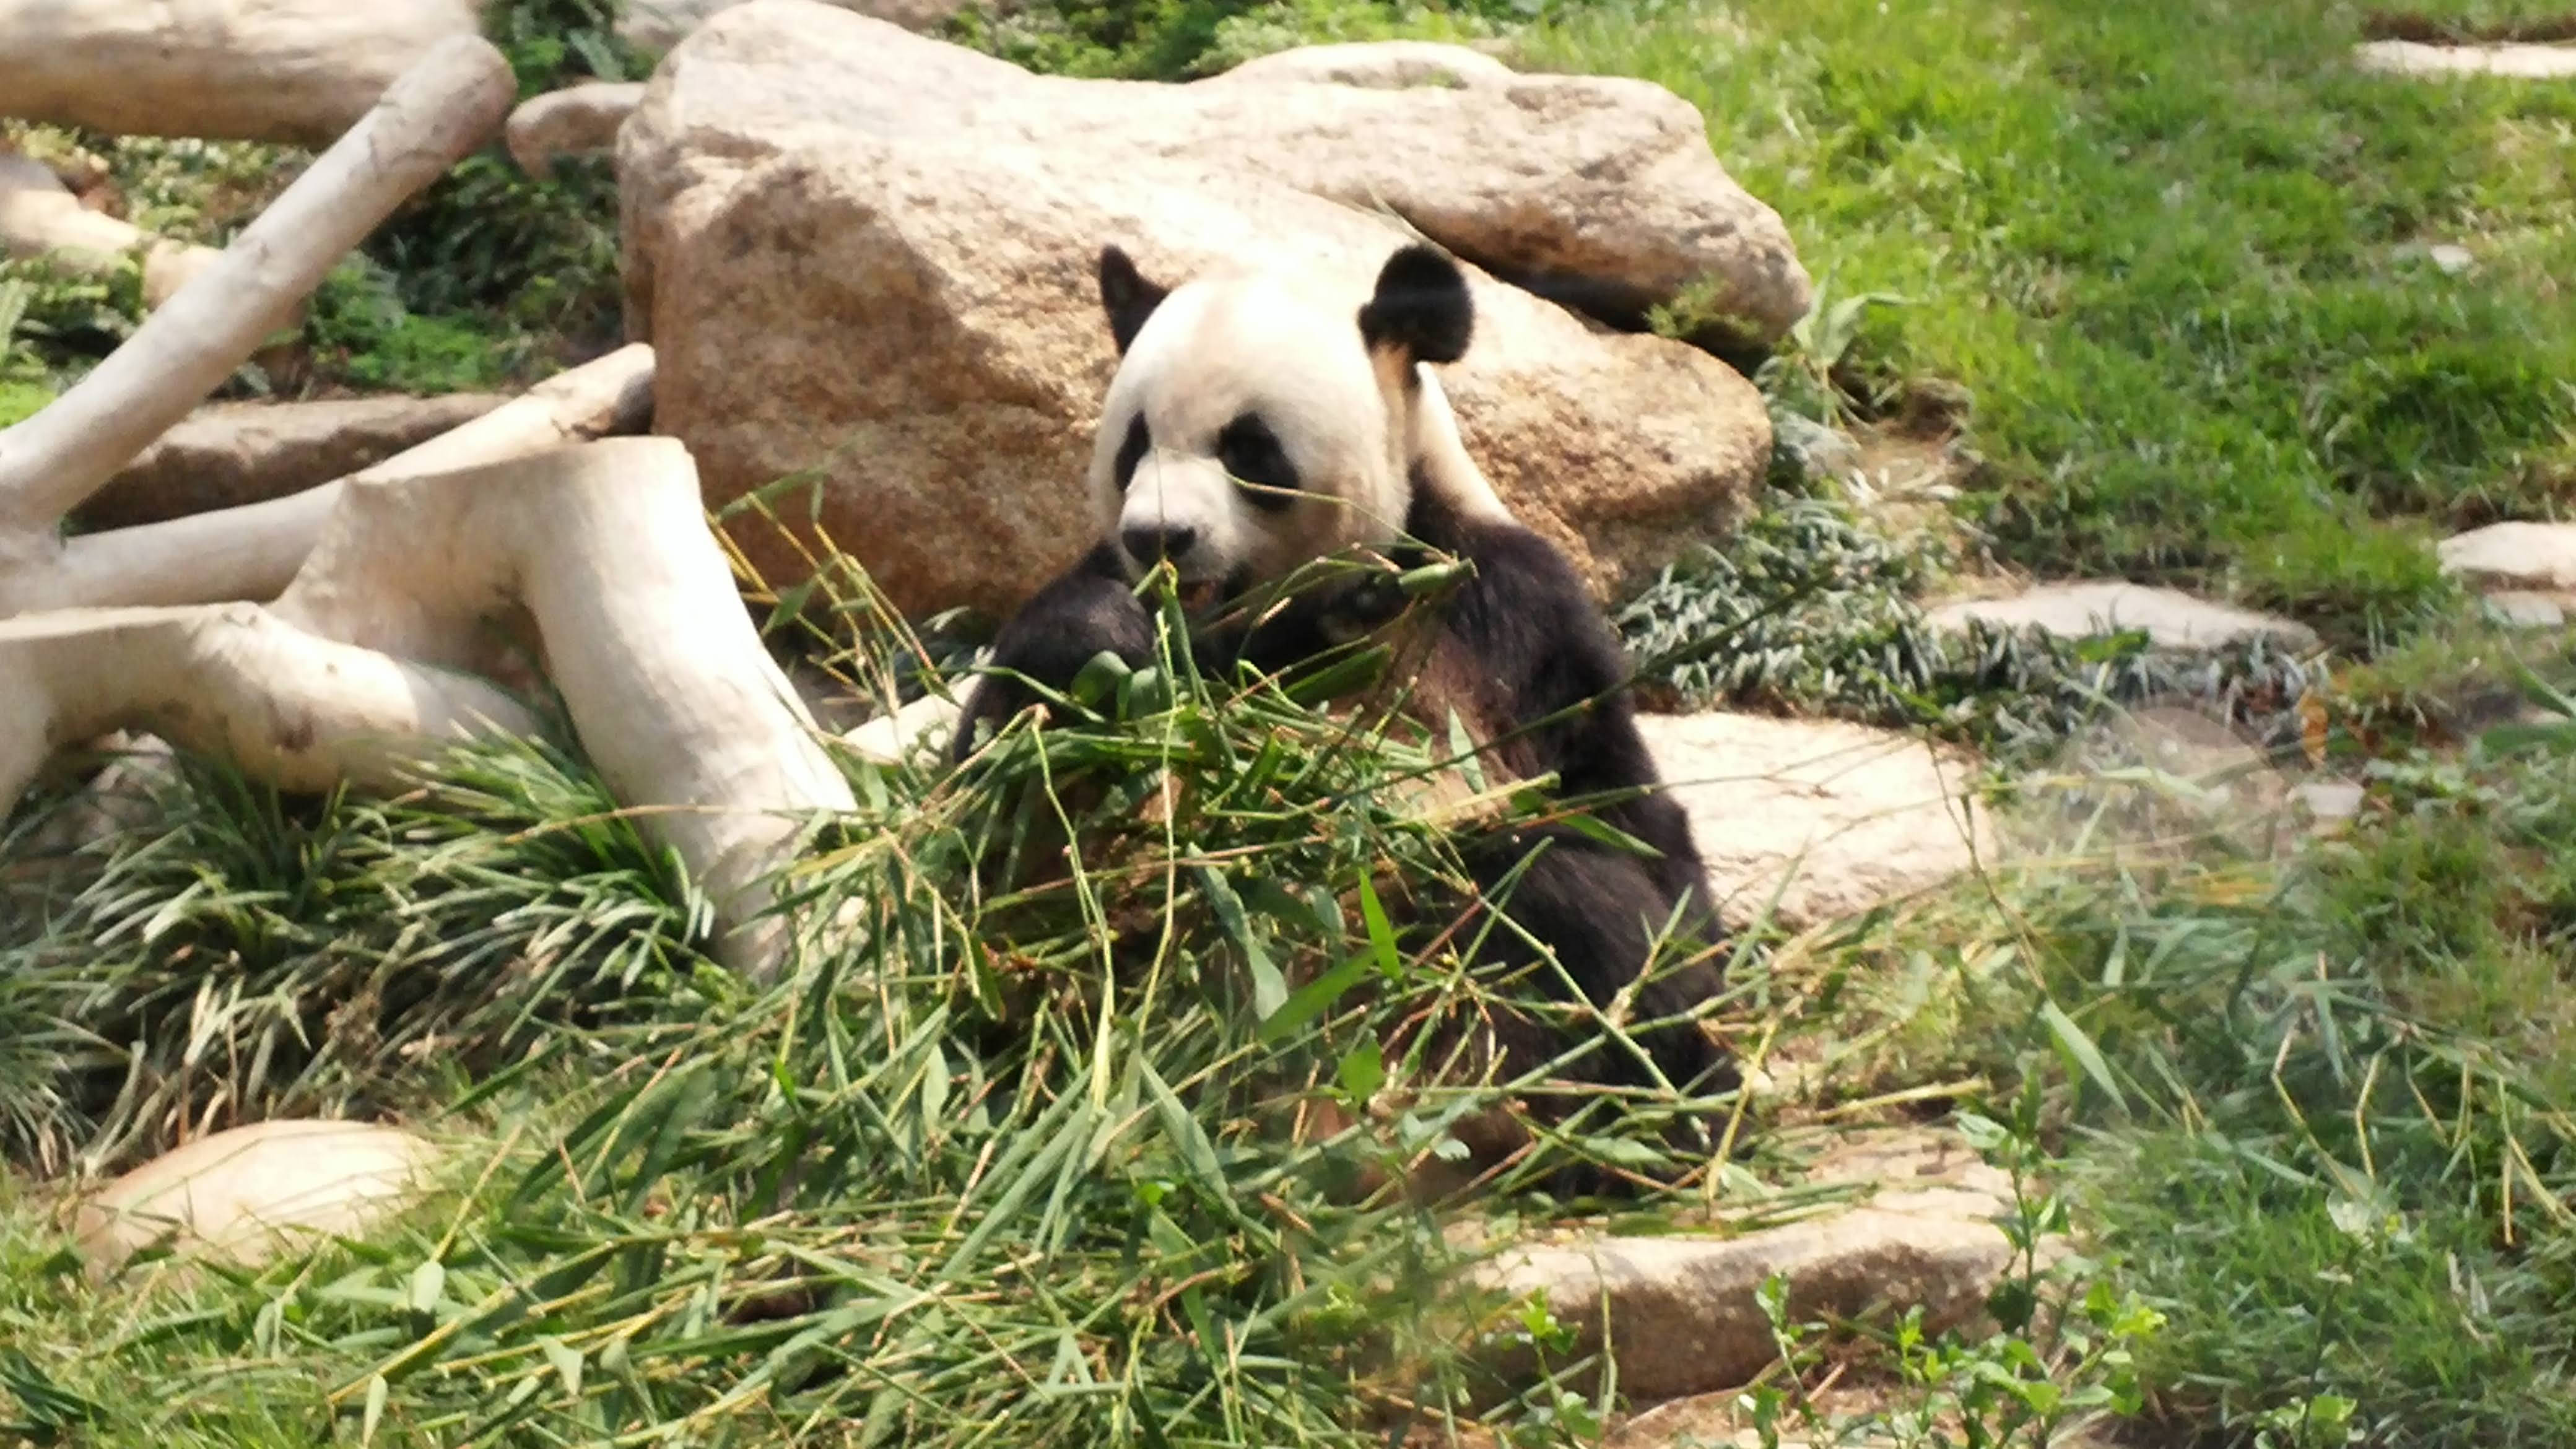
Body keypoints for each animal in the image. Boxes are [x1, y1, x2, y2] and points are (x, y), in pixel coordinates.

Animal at [947, 230, 1731, 1165]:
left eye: (1248, 448)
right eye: (1135, 444)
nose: (1158, 536)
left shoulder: (1505, 611)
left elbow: (1614, 800)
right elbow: (987, 811)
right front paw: (1104, 641)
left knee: (1564, 895)